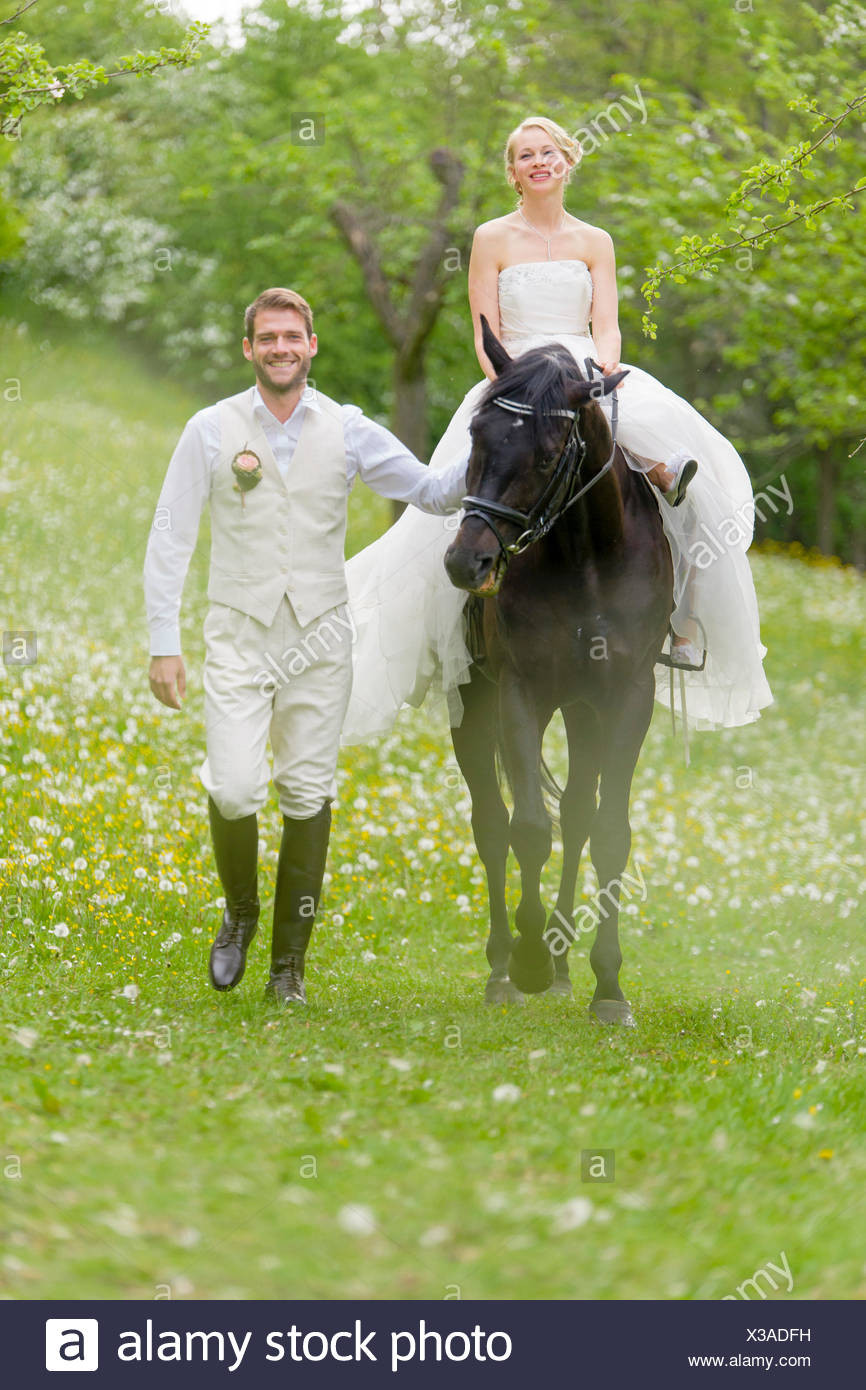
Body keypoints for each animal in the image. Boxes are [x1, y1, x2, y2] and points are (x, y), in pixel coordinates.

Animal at [444, 319, 675, 1028]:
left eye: (548, 458)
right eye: (475, 434)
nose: (467, 562)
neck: (586, 556)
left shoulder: (628, 699)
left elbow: (608, 832)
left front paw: (608, 987)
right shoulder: (520, 693)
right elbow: (527, 828)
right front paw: (527, 962)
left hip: (583, 709)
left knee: (576, 815)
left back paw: (566, 961)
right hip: (476, 707)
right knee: (492, 826)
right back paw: (504, 969)